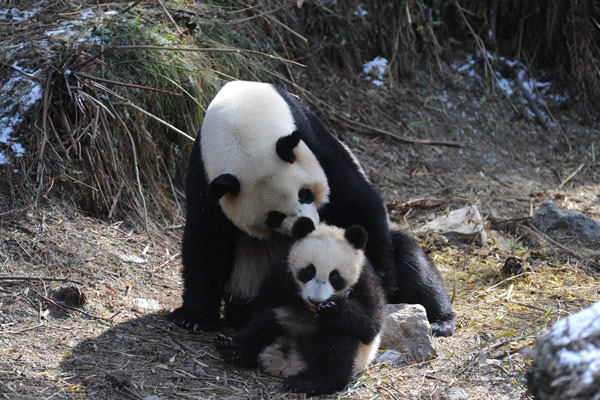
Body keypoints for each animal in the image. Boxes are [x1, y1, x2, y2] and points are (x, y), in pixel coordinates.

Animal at [169, 79, 454, 336]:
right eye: (273, 217)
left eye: (304, 194)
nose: (306, 224)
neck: (240, 115)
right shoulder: (205, 172)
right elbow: (206, 239)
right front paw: (193, 317)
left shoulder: (312, 141)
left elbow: (356, 201)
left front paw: (373, 281)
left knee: (410, 259)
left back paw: (439, 319)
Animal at [216, 223, 384, 396]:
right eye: (309, 271)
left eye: (334, 277)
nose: (316, 300)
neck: (309, 309)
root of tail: (293, 361)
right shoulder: (280, 269)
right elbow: (263, 304)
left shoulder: (365, 279)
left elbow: (371, 322)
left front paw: (330, 308)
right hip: (286, 320)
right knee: (264, 323)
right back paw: (231, 348)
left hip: (353, 354)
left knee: (339, 344)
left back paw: (310, 382)